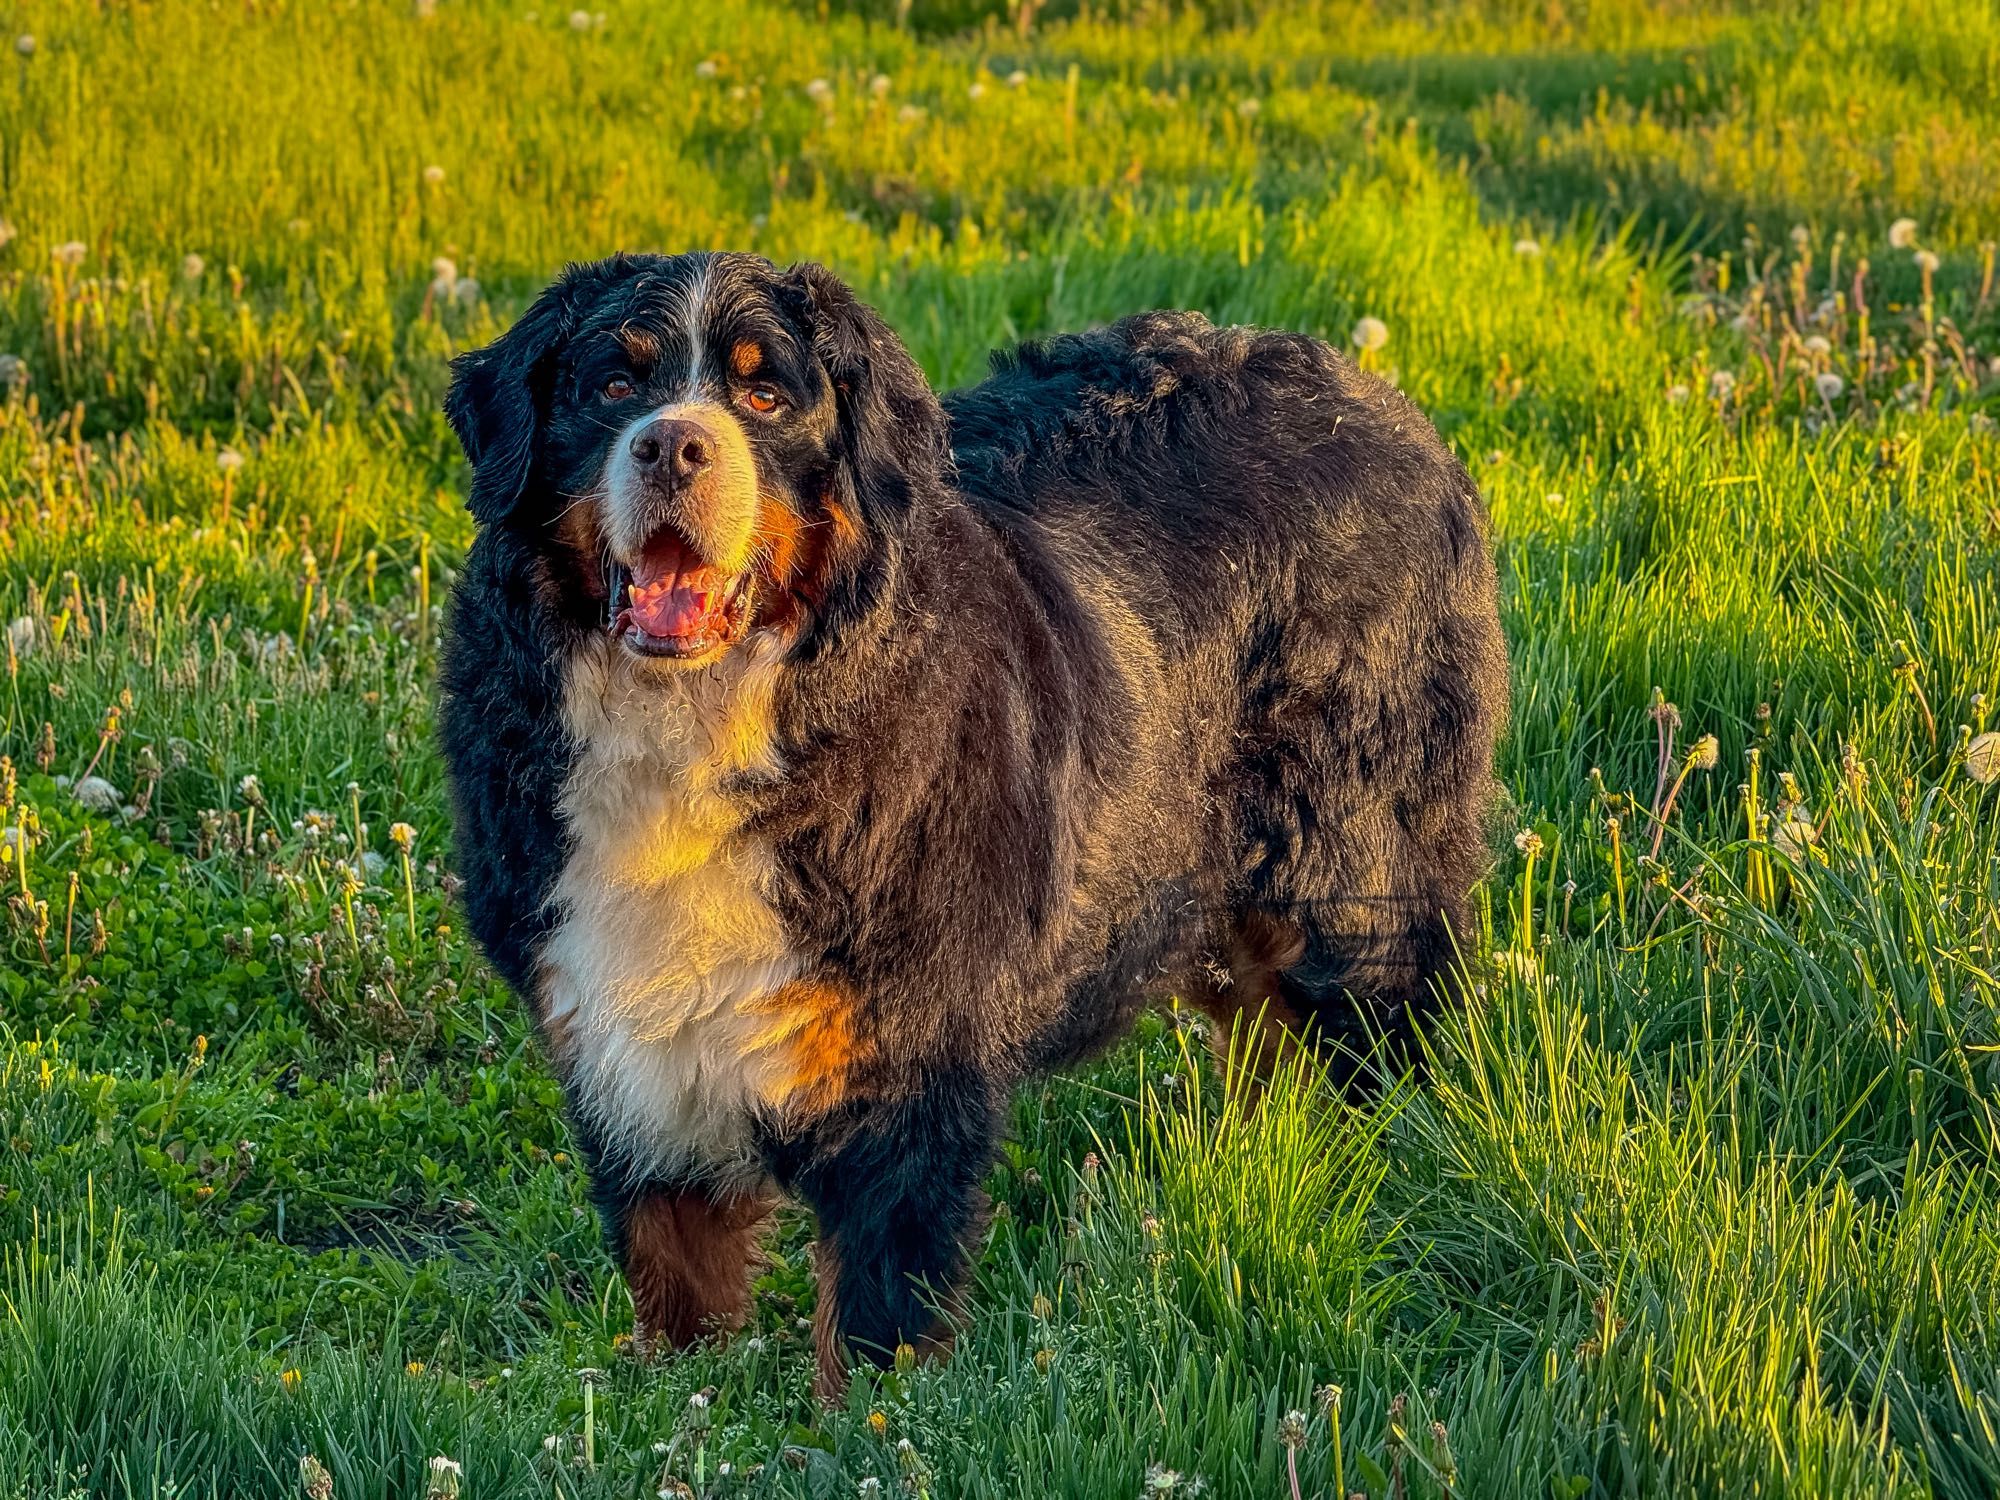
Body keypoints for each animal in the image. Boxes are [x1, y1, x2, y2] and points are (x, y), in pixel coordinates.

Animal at [434, 256, 1504, 1400]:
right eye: (612, 385)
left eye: (761, 393)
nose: (672, 444)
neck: (697, 730)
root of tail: (1386, 406)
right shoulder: (624, 1058)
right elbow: (677, 1286)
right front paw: (681, 1407)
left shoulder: (905, 1073)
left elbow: (870, 1332)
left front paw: (863, 1422)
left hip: (1352, 890)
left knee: (1386, 1048)